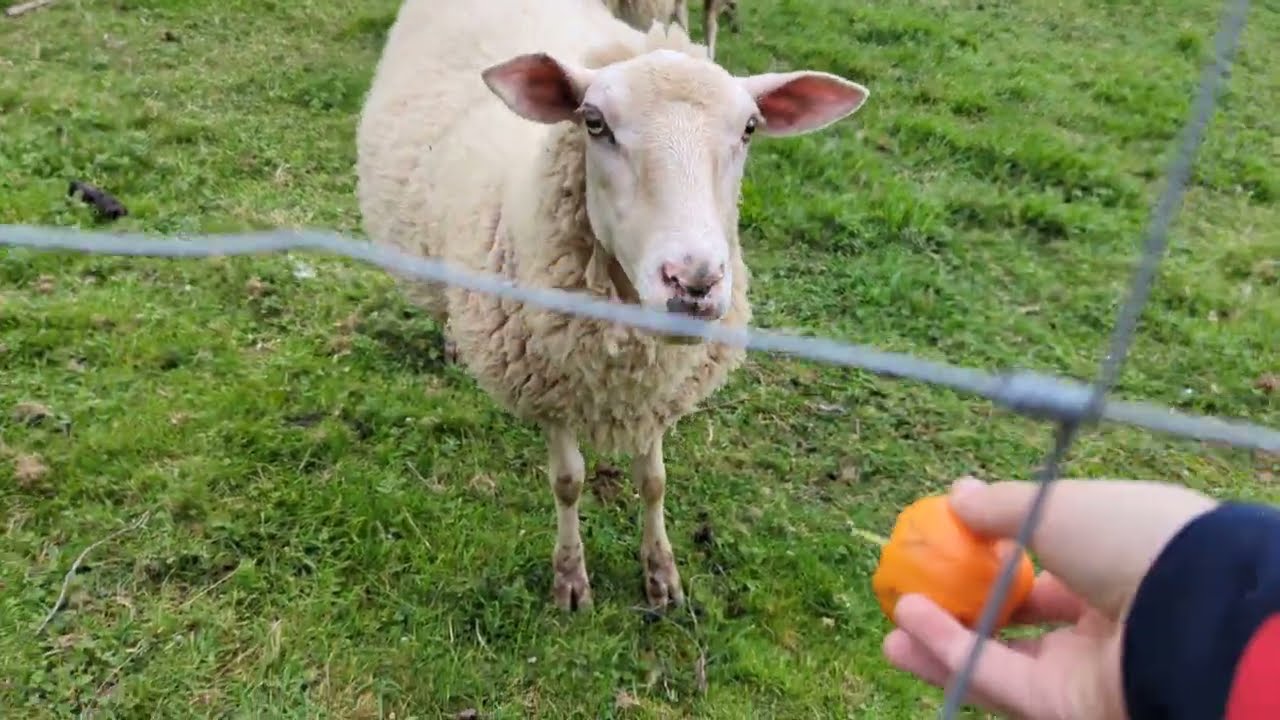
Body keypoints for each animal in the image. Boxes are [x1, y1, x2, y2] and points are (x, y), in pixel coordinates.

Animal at [355, 0, 869, 612]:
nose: (693, 282)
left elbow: (654, 481)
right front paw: (571, 579)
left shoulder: (658, 389)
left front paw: (662, 575)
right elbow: (568, 482)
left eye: (749, 129)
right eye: (594, 123)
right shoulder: (547, 384)